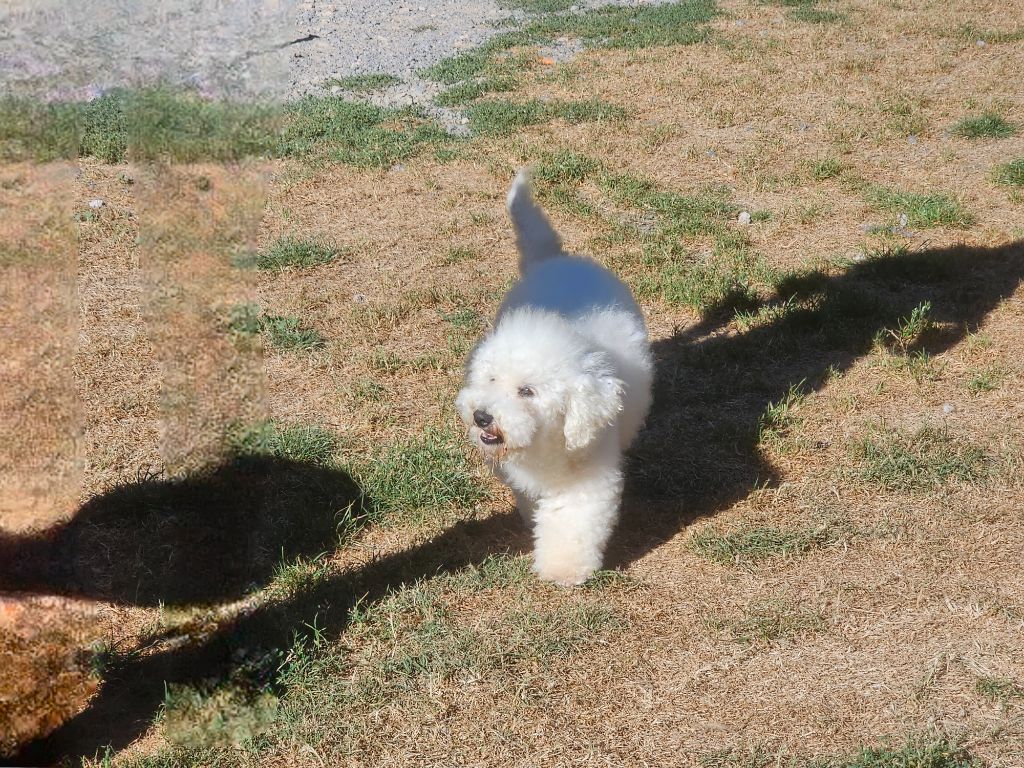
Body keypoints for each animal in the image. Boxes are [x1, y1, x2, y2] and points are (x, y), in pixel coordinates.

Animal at [458, 171, 655, 585]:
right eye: (492, 380)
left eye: (527, 391)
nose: (482, 416)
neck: (542, 445)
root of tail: (556, 260)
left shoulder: (588, 477)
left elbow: (571, 519)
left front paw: (562, 569)